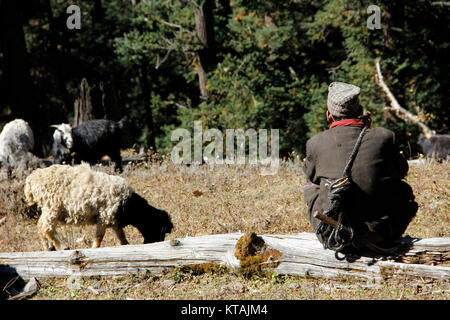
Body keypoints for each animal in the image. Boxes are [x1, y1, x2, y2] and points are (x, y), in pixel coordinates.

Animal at [23, 164, 173, 251]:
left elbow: (121, 235)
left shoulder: (114, 220)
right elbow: (100, 236)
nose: (152, 243)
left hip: (48, 207)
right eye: (159, 228)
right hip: (52, 205)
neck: (128, 204)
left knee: (40, 226)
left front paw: (126, 245)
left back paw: (49, 248)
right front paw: (95, 248)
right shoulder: (105, 215)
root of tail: (32, 179)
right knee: (45, 226)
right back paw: (62, 246)